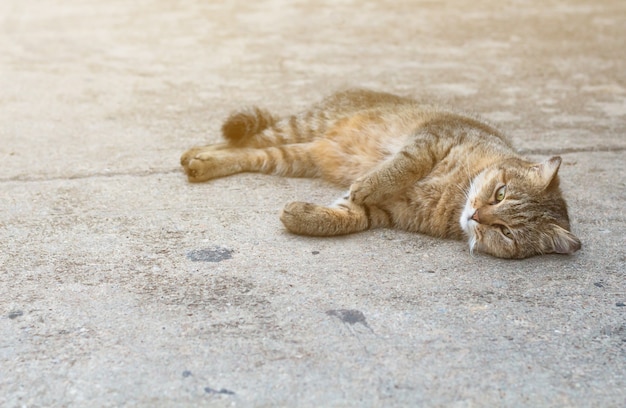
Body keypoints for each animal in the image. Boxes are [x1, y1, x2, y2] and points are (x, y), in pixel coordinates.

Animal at [179, 91, 580, 260]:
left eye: (506, 232)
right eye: (500, 193)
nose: (477, 215)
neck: (454, 194)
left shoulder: (386, 212)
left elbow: (347, 216)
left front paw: (304, 217)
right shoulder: (431, 139)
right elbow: (402, 165)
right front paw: (369, 183)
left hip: (292, 155)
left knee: (247, 154)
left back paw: (201, 163)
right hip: (299, 127)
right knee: (239, 139)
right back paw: (193, 154)